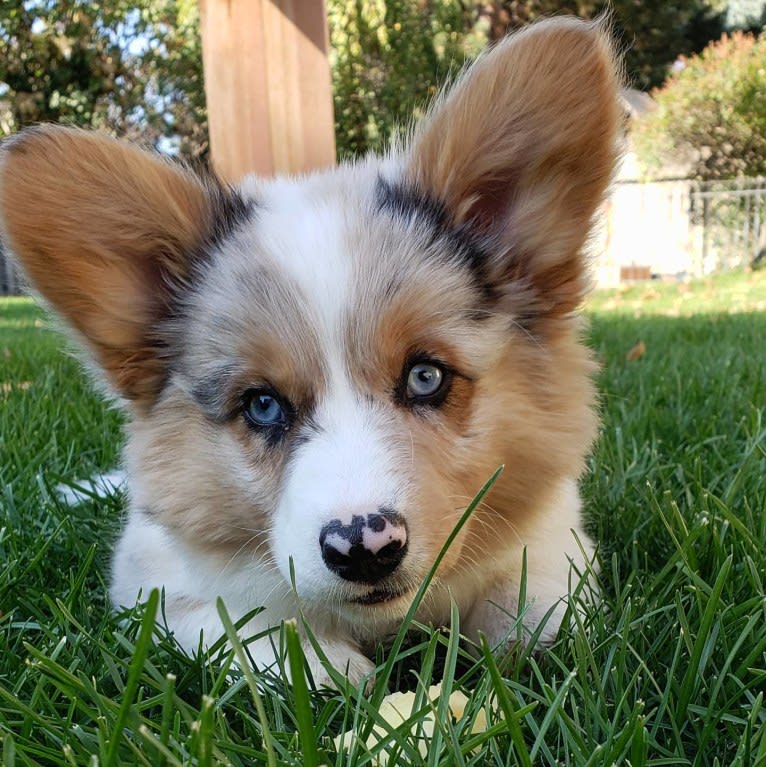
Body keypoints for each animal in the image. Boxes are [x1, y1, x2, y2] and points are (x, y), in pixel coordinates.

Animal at [0, 16, 624, 684]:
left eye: (426, 377)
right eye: (262, 405)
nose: (364, 549)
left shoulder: (558, 547)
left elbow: (540, 618)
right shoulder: (158, 593)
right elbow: (261, 635)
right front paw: (337, 679)